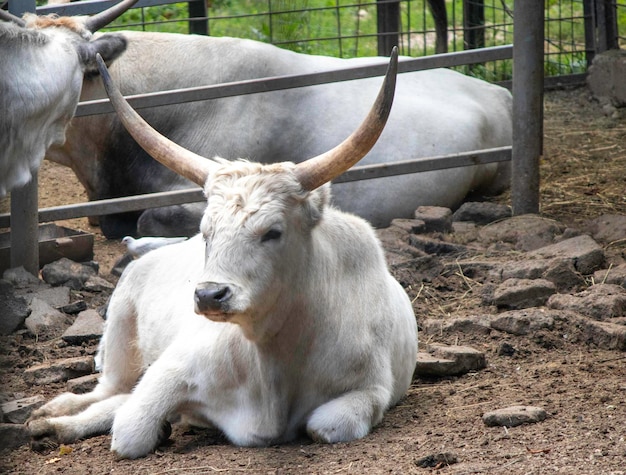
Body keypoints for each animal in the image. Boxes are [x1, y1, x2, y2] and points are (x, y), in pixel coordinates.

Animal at [30, 49, 420, 462]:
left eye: (273, 232)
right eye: (207, 231)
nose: (209, 295)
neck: (273, 358)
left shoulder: (370, 390)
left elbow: (324, 425)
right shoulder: (171, 368)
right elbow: (131, 432)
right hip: (120, 321)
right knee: (110, 389)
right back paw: (53, 413)